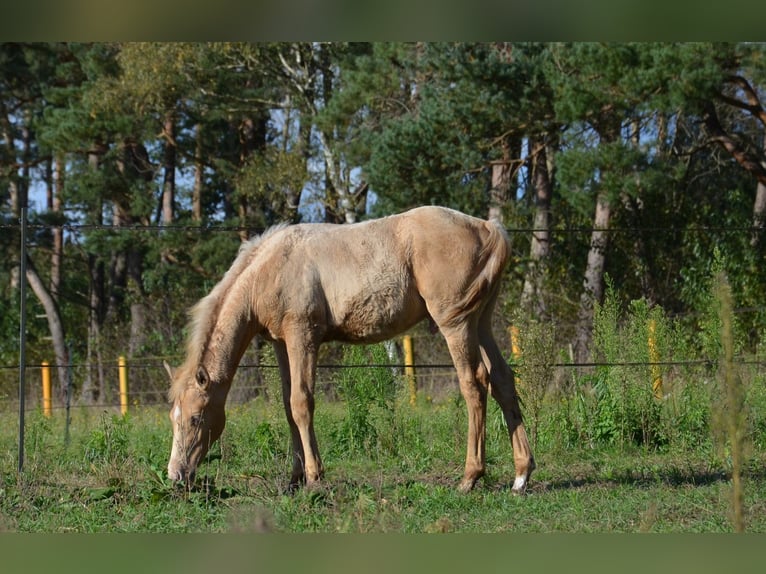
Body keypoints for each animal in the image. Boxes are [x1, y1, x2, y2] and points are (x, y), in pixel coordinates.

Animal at [166, 206, 540, 496]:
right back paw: (521, 476)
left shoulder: (303, 335)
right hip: (481, 323)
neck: (269, 269)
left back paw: (469, 477)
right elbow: (288, 407)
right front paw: (294, 479)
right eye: (174, 418)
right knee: (502, 381)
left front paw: (315, 477)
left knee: (474, 384)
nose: (176, 476)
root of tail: (490, 228)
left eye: (196, 418)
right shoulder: (281, 343)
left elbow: (301, 403)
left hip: (456, 324)